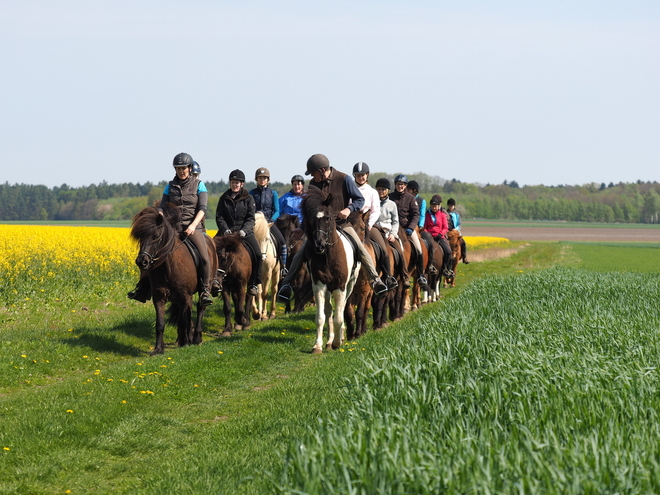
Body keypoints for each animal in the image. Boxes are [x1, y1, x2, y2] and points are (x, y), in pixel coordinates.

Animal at [130, 206, 219, 356]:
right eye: (140, 237)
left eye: (156, 236)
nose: (142, 262)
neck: (168, 266)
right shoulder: (159, 297)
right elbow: (160, 324)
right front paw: (158, 349)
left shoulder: (184, 296)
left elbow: (183, 321)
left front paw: (185, 343)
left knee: (200, 308)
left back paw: (196, 338)